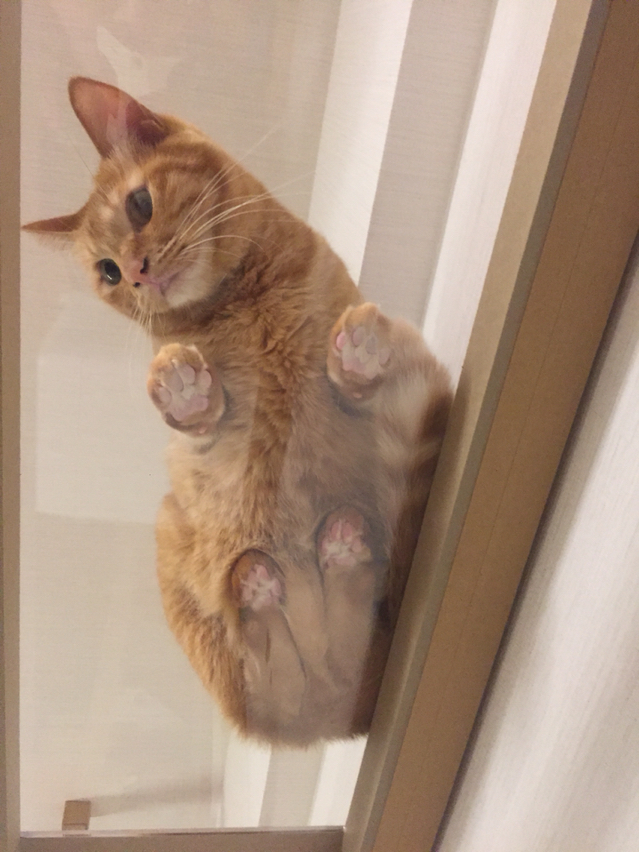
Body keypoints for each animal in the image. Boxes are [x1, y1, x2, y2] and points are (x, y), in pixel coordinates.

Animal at [24, 77, 452, 746]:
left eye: (141, 205)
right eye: (108, 272)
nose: (138, 273)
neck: (244, 305)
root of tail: (332, 723)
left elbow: (353, 383)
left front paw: (357, 354)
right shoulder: (204, 449)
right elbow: (204, 421)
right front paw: (185, 391)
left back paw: (335, 558)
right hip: (175, 531)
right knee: (265, 656)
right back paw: (268, 587)